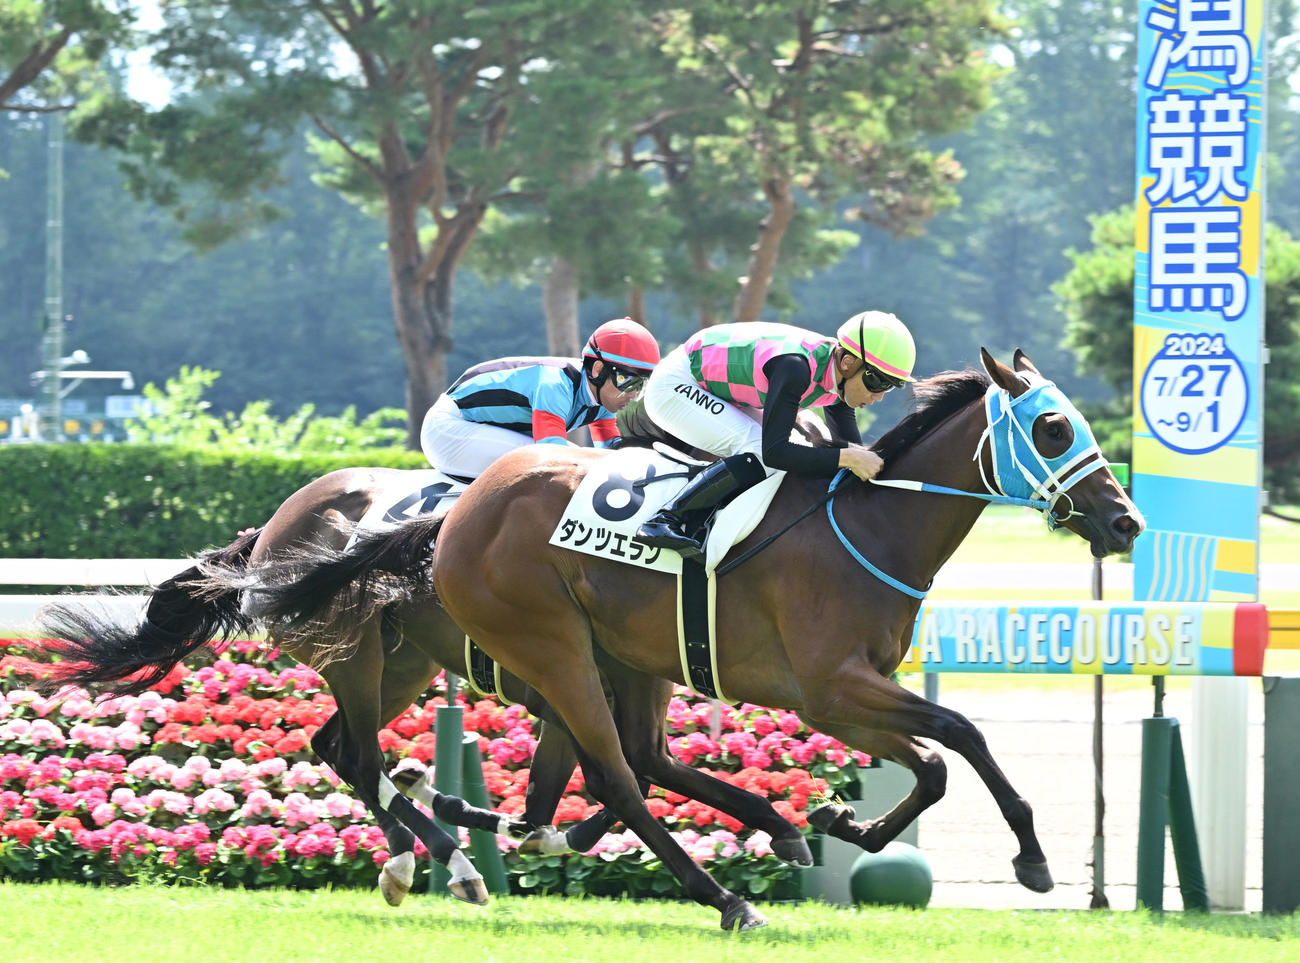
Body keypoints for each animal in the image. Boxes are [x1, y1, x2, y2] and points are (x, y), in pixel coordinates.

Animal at [236, 348, 1143, 929]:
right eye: (1054, 428)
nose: (1125, 521)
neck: (867, 524)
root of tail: (453, 519)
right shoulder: (830, 686)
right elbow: (960, 736)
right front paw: (1031, 855)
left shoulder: (844, 695)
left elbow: (933, 766)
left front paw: (842, 821)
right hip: (532, 650)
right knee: (607, 775)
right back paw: (720, 898)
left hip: (504, 659)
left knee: (359, 749)